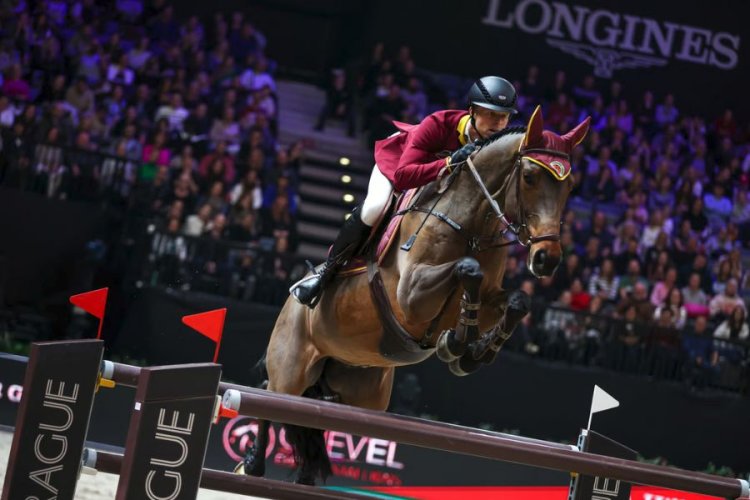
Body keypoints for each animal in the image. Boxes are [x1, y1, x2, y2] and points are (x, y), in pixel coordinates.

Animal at [237, 106, 591, 484]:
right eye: (529, 177)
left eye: (570, 186)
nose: (546, 259)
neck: (472, 225)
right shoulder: (411, 296)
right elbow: (467, 269)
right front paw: (458, 344)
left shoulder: (492, 295)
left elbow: (517, 301)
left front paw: (473, 351)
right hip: (291, 368)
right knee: (271, 403)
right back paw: (252, 462)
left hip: (360, 395)